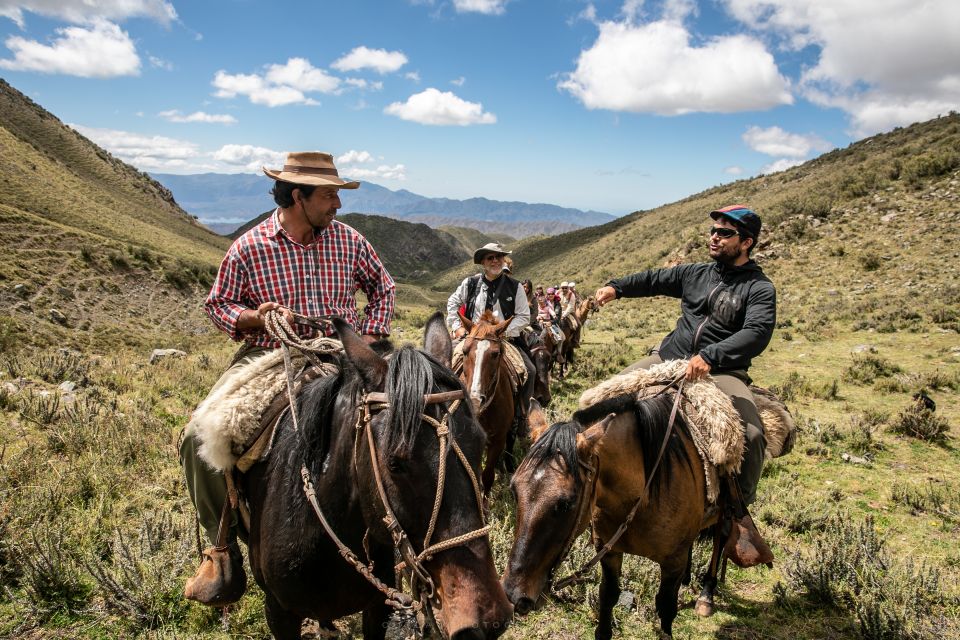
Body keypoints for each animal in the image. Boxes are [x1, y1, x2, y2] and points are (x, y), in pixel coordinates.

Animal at [502, 398, 720, 636]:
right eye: (514, 490)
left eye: (568, 503)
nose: (514, 594)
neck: (643, 495)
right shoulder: (609, 551)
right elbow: (608, 595)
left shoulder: (673, 563)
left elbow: (666, 607)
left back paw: (706, 596)